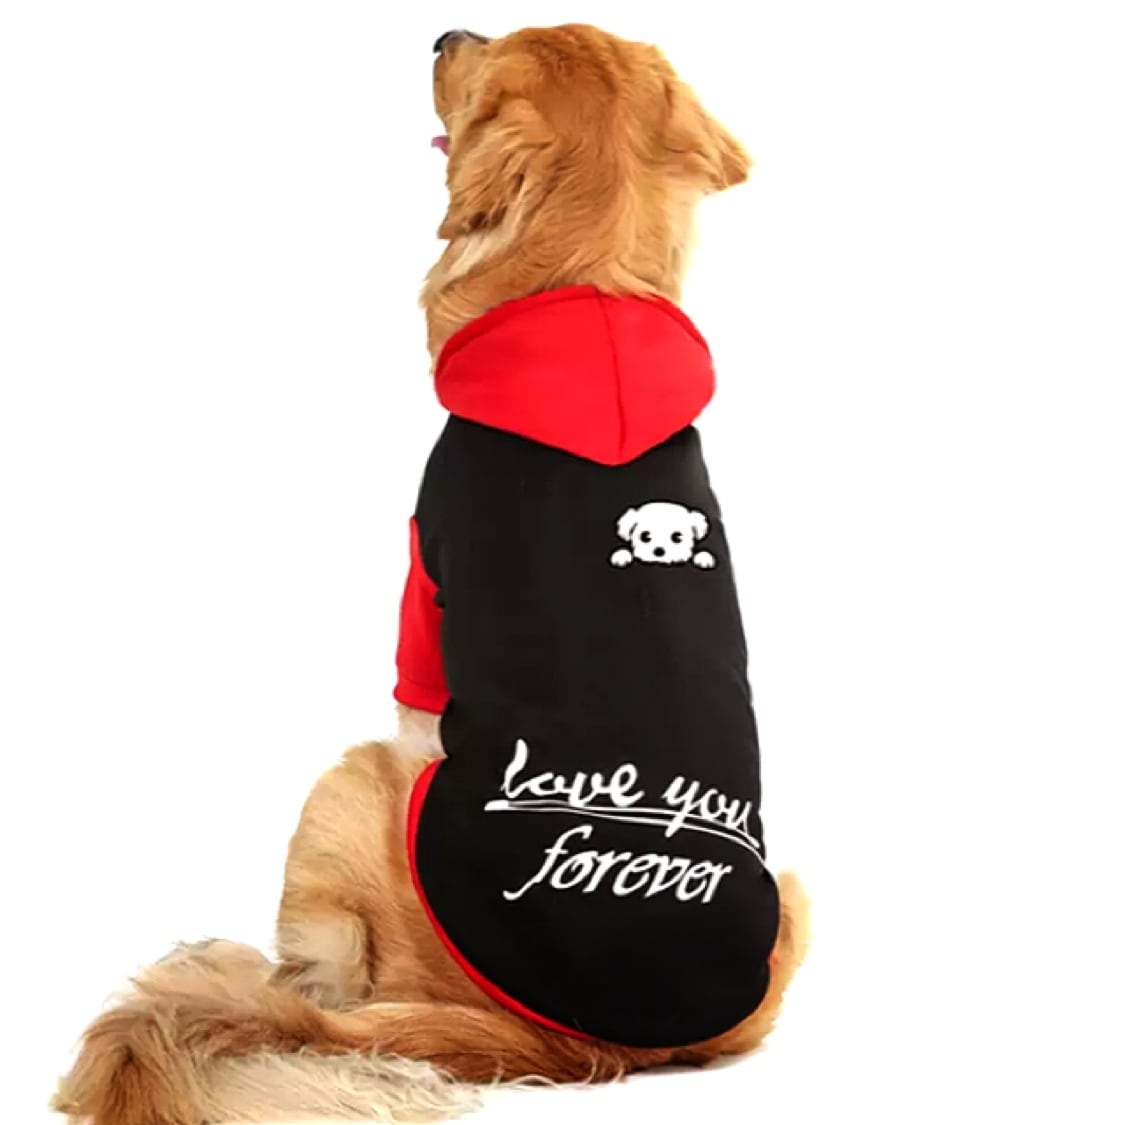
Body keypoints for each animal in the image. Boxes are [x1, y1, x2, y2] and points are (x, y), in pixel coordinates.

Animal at [54, 24, 809, 1124]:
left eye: (484, 68)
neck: (590, 289)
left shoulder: (421, 584)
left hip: (346, 781)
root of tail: (581, 1047)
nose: (445, 32)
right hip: (793, 900)